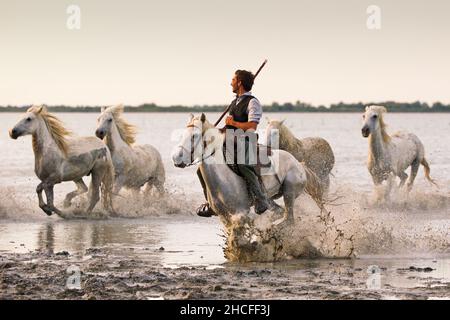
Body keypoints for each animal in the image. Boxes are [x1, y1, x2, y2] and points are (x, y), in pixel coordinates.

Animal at [171, 114, 324, 224]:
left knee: (288, 219)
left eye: (194, 136)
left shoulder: (241, 211)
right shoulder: (224, 215)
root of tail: (298, 163)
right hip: (271, 198)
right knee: (279, 212)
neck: (223, 177)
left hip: (289, 192)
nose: (176, 158)